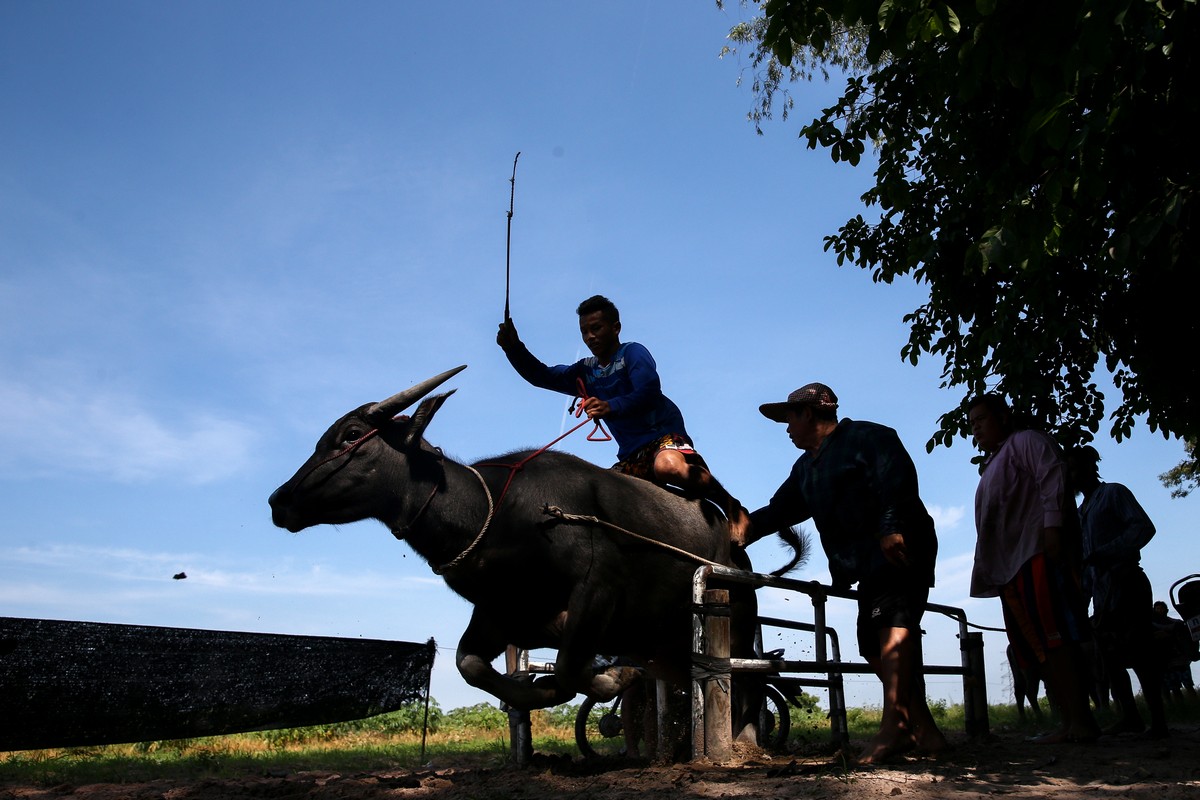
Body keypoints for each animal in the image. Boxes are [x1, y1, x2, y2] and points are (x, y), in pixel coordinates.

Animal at [266, 367, 763, 743]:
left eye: (351, 434)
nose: (278, 500)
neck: (498, 514)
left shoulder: (597, 592)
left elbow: (568, 667)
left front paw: (612, 678)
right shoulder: (499, 613)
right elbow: (471, 665)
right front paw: (536, 690)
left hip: (734, 618)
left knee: (747, 678)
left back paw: (745, 736)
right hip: (665, 640)